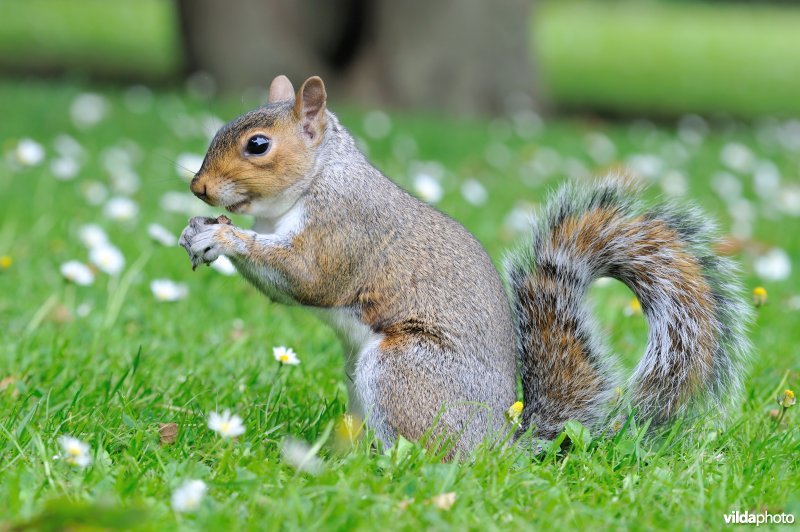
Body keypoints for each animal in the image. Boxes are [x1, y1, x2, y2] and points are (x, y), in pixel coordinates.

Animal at [178, 76, 752, 458]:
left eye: (258, 145)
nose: (198, 188)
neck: (318, 178)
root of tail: (496, 447)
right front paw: (196, 229)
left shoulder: (345, 230)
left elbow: (306, 278)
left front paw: (222, 236)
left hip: (403, 371)